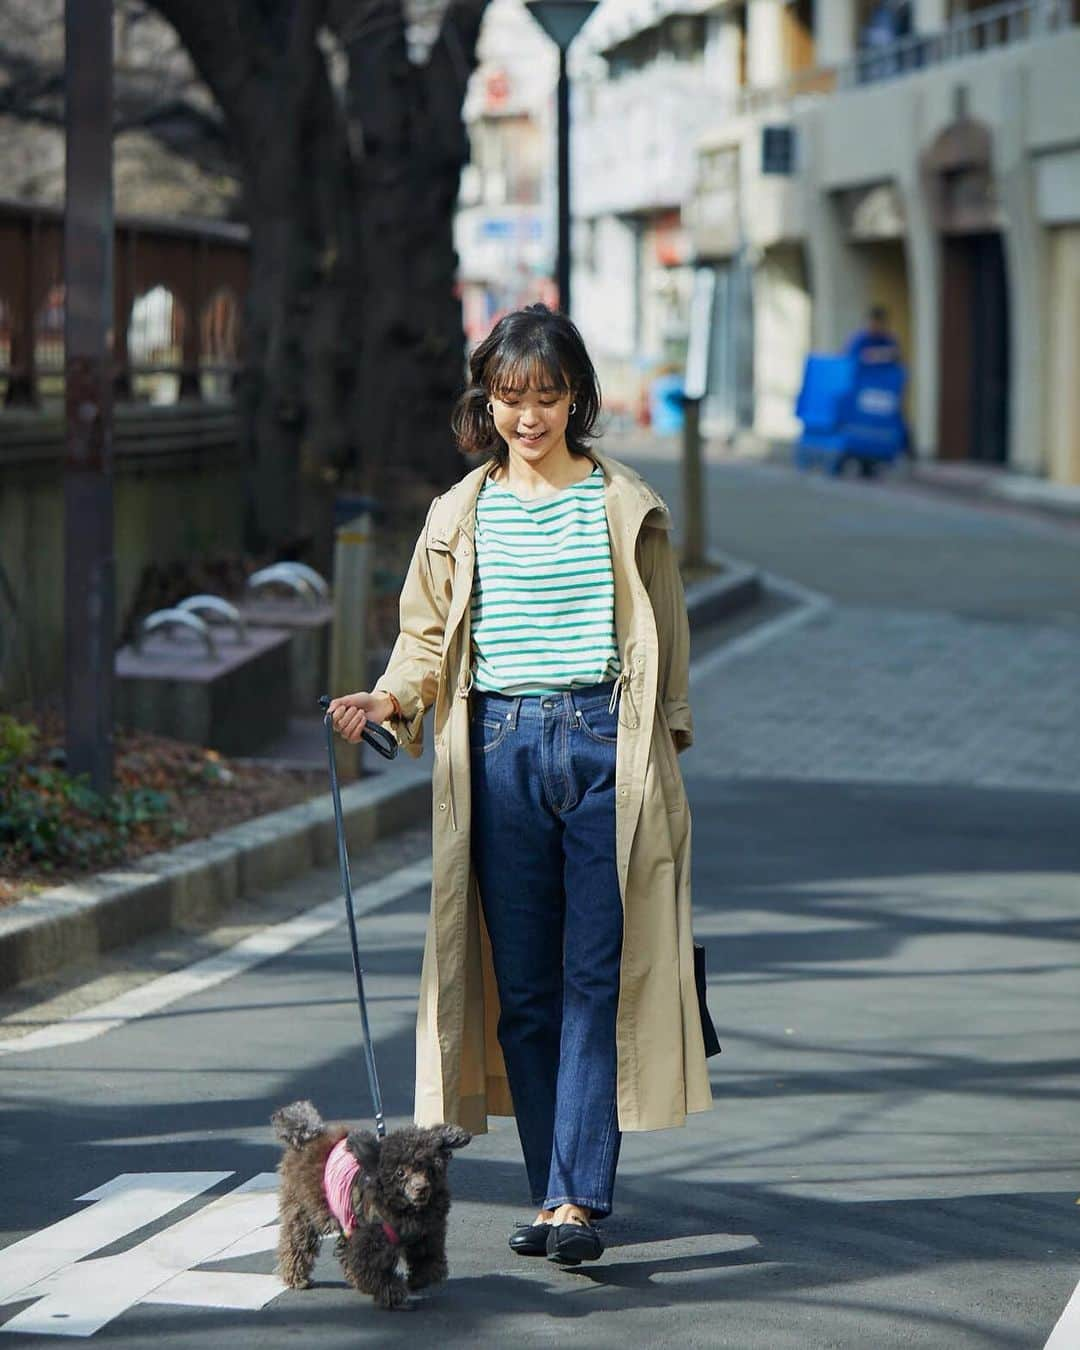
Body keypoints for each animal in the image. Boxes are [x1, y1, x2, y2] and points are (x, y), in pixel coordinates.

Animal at [270, 1096, 467, 1306]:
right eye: (400, 1173)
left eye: (430, 1169)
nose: (421, 1188)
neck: (406, 1210)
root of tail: (308, 1136)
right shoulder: (370, 1243)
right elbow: (375, 1273)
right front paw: (395, 1293)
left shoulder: (428, 1236)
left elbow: (431, 1265)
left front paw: (416, 1281)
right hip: (303, 1208)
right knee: (296, 1241)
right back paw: (297, 1278)